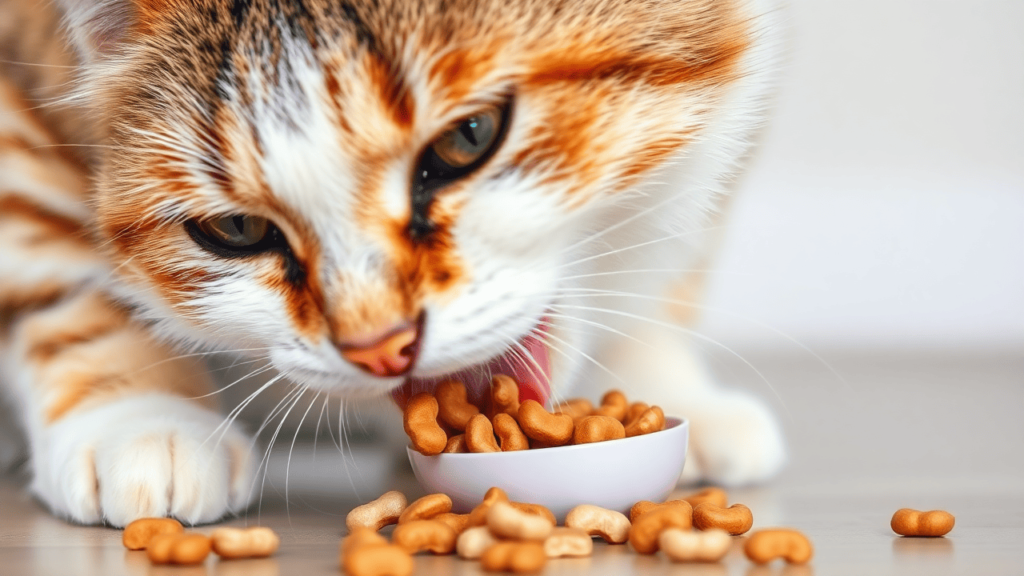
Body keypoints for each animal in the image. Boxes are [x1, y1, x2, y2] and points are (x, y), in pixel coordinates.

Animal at [0, 0, 782, 524]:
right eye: (237, 228)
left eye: (470, 136)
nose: (379, 346)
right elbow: (52, 263)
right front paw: (138, 416)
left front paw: (666, 382)